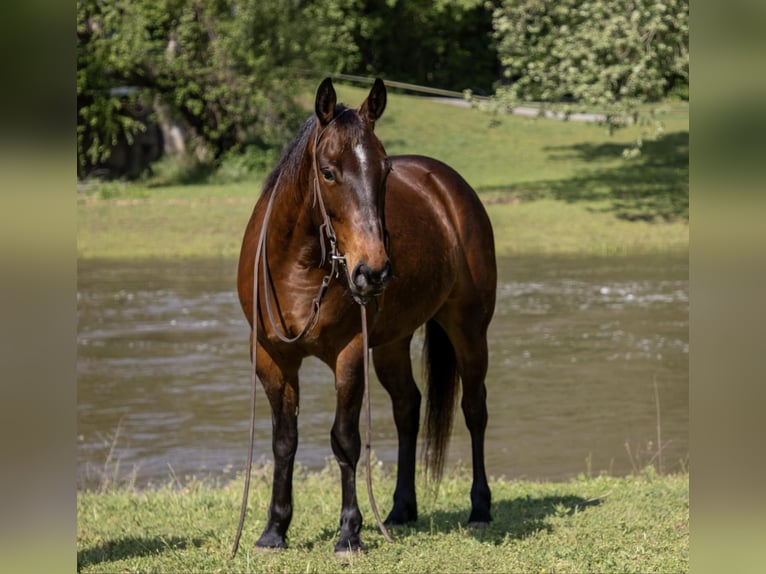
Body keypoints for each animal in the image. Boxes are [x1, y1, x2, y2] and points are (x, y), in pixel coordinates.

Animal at [236, 76, 498, 552]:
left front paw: (349, 533)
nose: (372, 271)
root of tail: (448, 187)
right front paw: (274, 530)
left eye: (385, 170)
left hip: (469, 329)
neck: (297, 268)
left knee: (474, 409)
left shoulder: (350, 353)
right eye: (328, 171)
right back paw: (400, 509)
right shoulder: (271, 358)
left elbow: (345, 440)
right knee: (408, 408)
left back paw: (480, 509)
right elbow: (284, 441)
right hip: (393, 342)